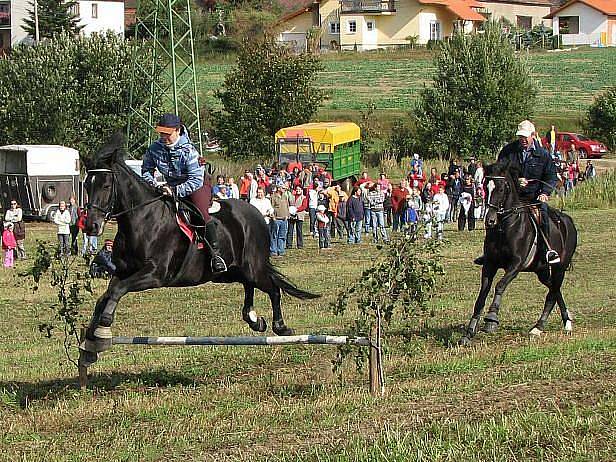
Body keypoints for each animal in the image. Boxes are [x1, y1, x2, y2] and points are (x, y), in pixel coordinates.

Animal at [79, 133, 318, 364]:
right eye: (86, 185)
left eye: (106, 185)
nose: (91, 226)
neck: (142, 219)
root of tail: (256, 213)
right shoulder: (122, 271)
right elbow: (106, 295)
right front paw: (91, 339)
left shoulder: (155, 274)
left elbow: (118, 291)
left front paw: (104, 325)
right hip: (228, 272)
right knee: (248, 284)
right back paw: (252, 318)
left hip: (252, 266)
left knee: (272, 288)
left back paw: (280, 327)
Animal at [460, 161, 580, 344]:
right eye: (485, 187)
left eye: (502, 189)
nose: (490, 220)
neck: (505, 227)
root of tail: (568, 222)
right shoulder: (489, 264)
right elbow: (482, 295)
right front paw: (469, 332)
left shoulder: (515, 265)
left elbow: (500, 285)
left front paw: (491, 319)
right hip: (542, 271)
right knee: (555, 289)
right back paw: (566, 320)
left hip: (559, 267)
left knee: (552, 294)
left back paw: (539, 327)